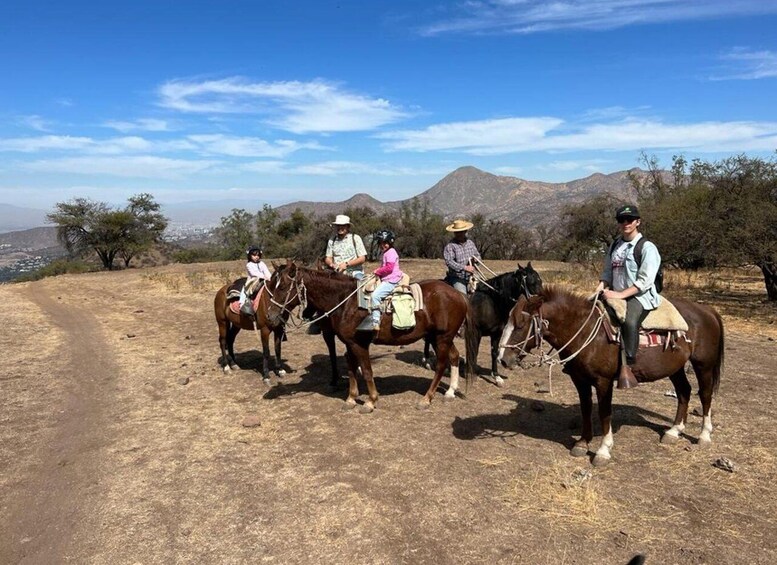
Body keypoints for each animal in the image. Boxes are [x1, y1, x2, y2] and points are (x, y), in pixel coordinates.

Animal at [268, 262, 466, 412]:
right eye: (272, 285)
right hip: (438, 337)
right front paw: (351, 399)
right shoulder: (349, 344)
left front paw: (370, 401)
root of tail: (458, 294)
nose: (271, 316)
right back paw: (450, 391)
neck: (346, 301)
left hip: (441, 338)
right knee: (454, 356)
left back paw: (426, 398)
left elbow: (367, 371)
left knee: (441, 365)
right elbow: (351, 369)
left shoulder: (359, 344)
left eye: (283, 287)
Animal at [498, 284, 720, 464]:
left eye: (520, 324)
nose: (502, 359)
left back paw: (704, 435)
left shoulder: (603, 382)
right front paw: (583, 443)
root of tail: (707, 310)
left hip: (703, 365)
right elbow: (586, 409)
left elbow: (604, 413)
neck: (586, 331)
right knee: (684, 391)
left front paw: (603, 451)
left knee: (705, 394)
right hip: (674, 367)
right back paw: (674, 431)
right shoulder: (580, 380)